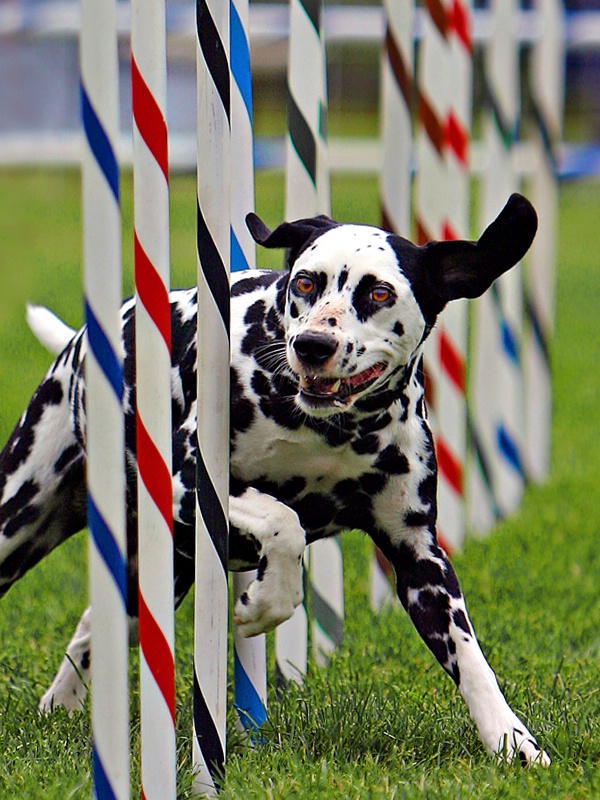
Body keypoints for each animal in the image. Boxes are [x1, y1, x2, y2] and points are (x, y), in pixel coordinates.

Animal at [0, 192, 548, 764]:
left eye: (378, 292)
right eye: (305, 282)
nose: (312, 344)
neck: (335, 431)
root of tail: (78, 344)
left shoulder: (419, 558)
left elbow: (471, 658)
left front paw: (512, 741)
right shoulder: (190, 482)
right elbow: (285, 524)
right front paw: (263, 605)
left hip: (157, 582)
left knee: (95, 627)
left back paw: (62, 703)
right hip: (18, 526)